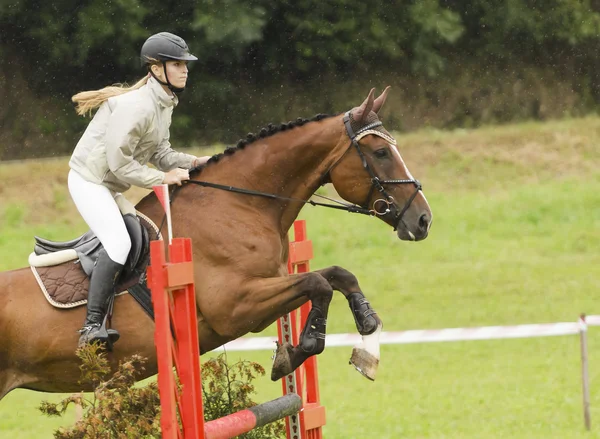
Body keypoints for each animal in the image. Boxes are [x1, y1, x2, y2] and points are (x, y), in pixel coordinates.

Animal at [0, 87, 432, 400]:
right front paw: (299, 349)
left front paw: (367, 345)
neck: (239, 204)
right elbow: (318, 283)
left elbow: (339, 275)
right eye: (381, 152)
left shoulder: (267, 290)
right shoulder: (236, 307)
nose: (423, 220)